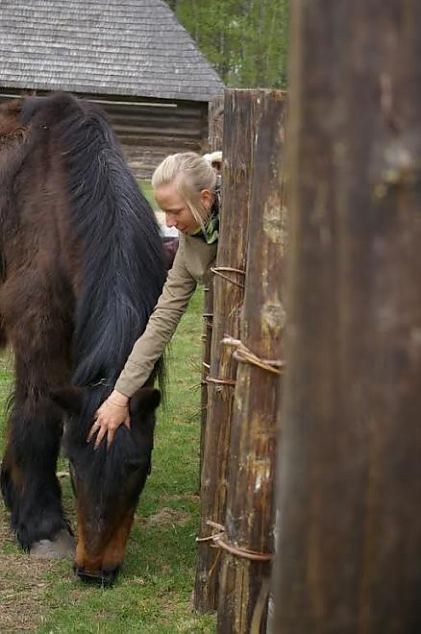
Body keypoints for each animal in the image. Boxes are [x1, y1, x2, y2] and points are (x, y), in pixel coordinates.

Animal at [0, 91, 167, 580]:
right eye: (72, 465)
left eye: (138, 465)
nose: (94, 571)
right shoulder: (38, 331)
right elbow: (37, 412)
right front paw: (42, 526)